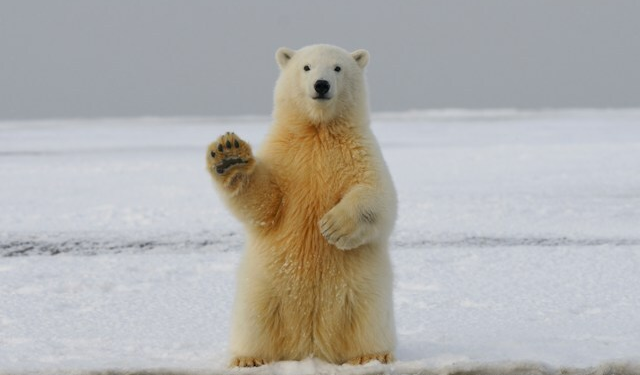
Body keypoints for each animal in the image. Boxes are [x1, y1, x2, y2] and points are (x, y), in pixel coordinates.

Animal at [206, 43, 396, 368]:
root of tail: (311, 346)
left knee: (368, 319)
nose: (321, 85)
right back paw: (248, 358)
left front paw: (333, 227)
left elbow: (378, 195)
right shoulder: (285, 156)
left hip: (364, 290)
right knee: (255, 319)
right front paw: (229, 155)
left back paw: (372, 355)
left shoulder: (360, 152)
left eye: (337, 68)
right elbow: (265, 203)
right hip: (264, 287)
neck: (318, 131)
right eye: (306, 67)